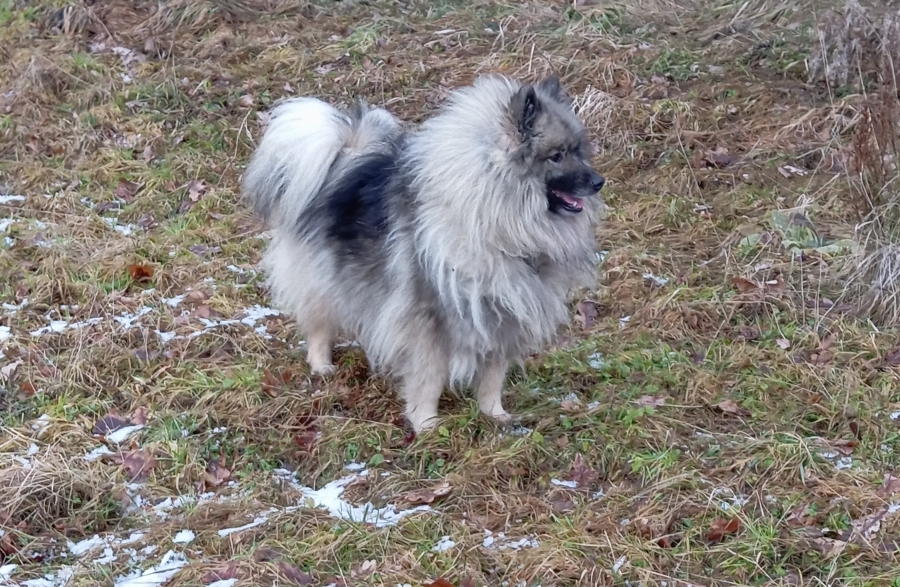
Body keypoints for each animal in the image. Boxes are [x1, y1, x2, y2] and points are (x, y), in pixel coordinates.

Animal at [242, 74, 604, 433]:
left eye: (578, 151)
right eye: (556, 155)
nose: (598, 181)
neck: (495, 220)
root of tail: (344, 162)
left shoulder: (504, 313)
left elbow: (493, 374)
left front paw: (494, 414)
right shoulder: (428, 320)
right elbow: (429, 377)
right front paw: (426, 424)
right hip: (323, 281)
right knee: (318, 325)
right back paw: (322, 366)